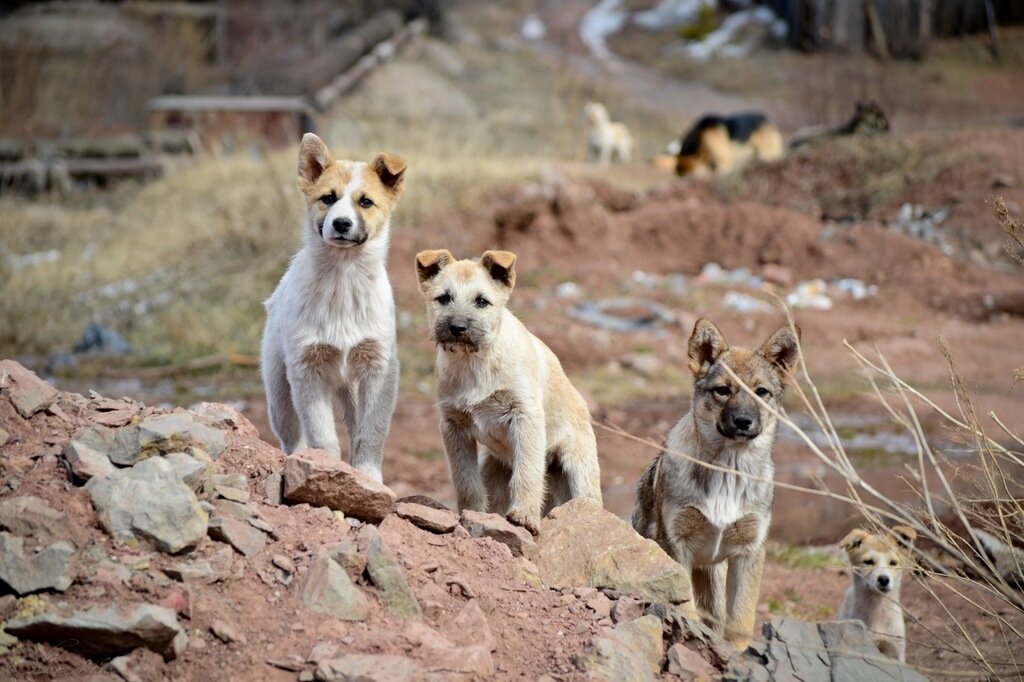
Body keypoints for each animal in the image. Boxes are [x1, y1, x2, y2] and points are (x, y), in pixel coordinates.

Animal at [260, 133, 407, 481]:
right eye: (328, 198)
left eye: (365, 202)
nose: (341, 223)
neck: (343, 282)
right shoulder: (307, 370)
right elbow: (323, 436)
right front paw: (323, 469)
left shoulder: (379, 369)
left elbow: (371, 433)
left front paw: (368, 475)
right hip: (279, 392)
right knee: (292, 437)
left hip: (351, 388)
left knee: (355, 428)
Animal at [415, 249, 602, 532]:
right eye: (444, 298)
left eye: (482, 301)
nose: (457, 328)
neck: (476, 362)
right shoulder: (453, 426)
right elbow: (465, 481)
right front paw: (471, 514)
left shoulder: (526, 416)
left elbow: (527, 472)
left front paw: (524, 516)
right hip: (494, 470)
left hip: (579, 472)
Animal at [630, 315, 798, 647]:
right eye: (723, 390)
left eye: (761, 392)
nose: (743, 421)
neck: (727, 476)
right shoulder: (676, 544)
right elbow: (686, 606)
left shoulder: (749, 551)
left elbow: (741, 619)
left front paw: (737, 651)